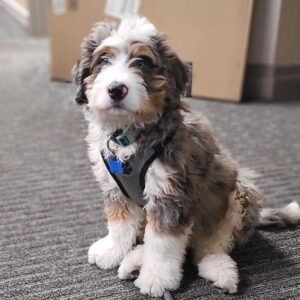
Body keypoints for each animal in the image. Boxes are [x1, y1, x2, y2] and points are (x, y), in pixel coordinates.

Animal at [73, 17, 300, 298]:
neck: (129, 136)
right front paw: (111, 251)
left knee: (208, 247)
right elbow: (120, 224)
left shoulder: (171, 194)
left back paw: (219, 270)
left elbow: (162, 243)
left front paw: (157, 279)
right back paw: (134, 261)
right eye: (103, 60)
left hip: (241, 193)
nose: (116, 89)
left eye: (142, 62)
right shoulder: (117, 190)